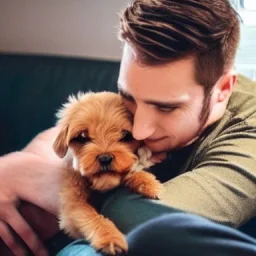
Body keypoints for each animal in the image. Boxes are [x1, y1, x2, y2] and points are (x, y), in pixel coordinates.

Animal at [52, 91, 161, 254]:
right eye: (82, 137)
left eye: (125, 135)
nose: (105, 158)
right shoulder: (73, 205)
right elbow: (92, 217)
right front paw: (110, 237)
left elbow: (130, 169)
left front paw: (146, 182)